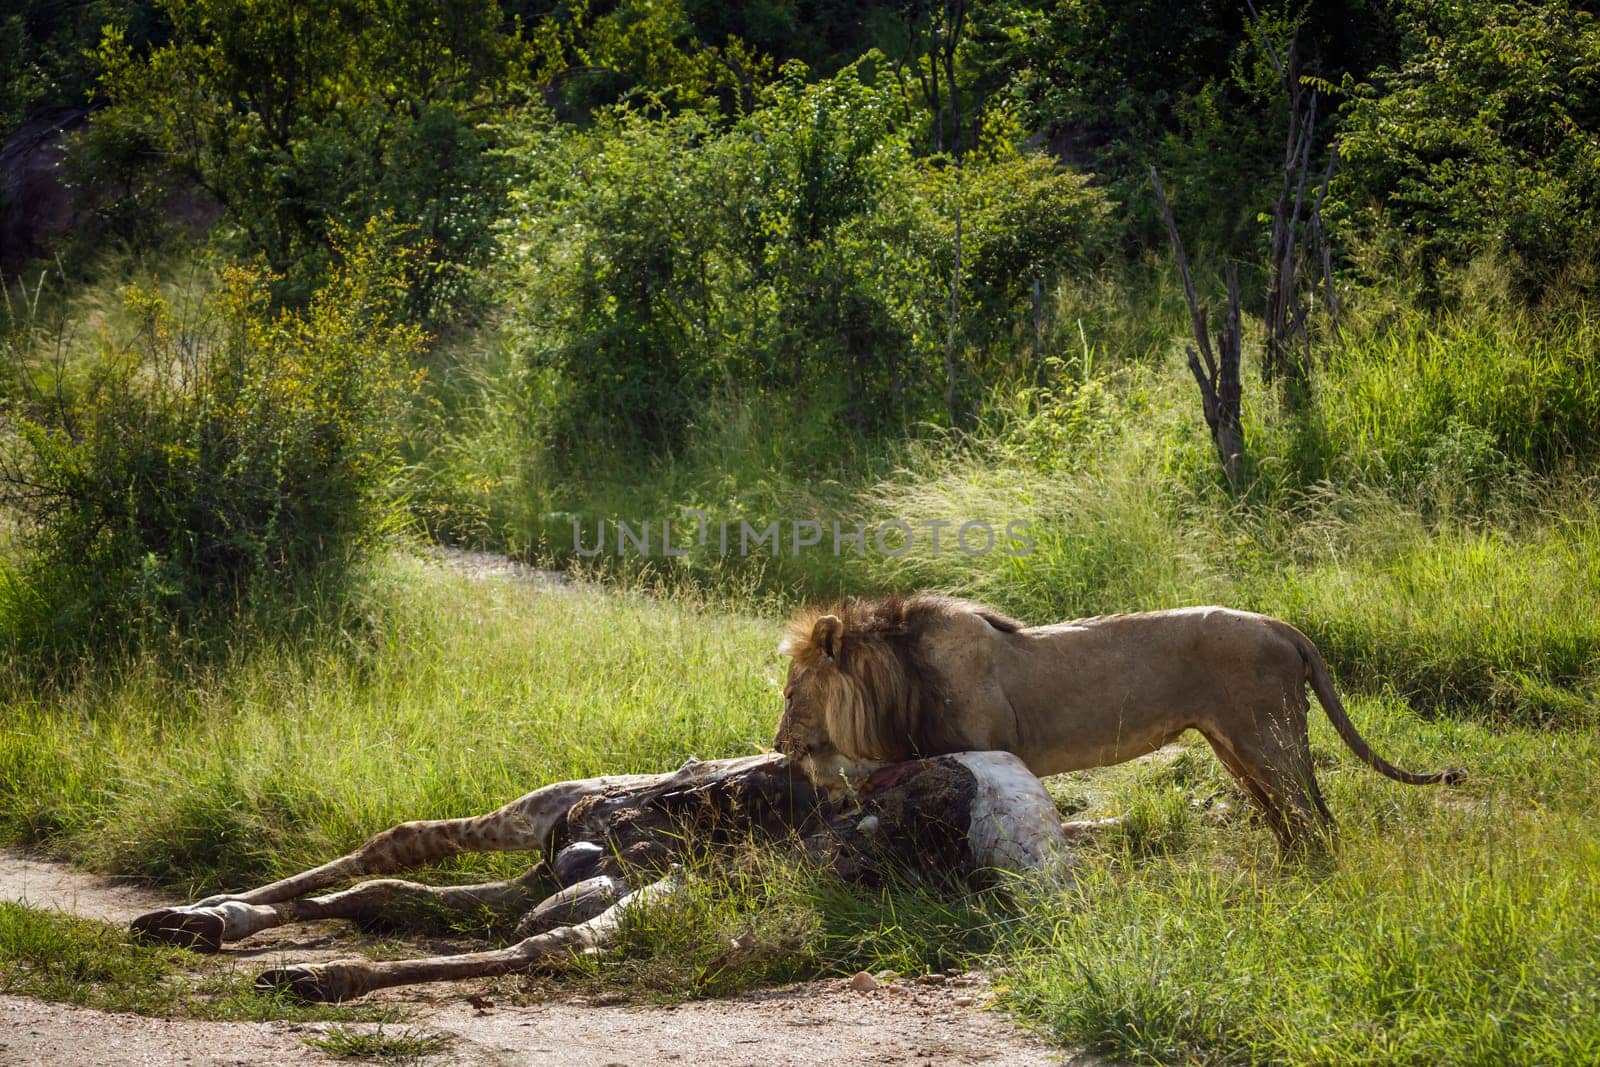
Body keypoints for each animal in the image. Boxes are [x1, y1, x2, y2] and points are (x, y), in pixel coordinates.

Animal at [774, 598, 1465, 857]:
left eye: (788, 691)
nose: (779, 745)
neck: (900, 682)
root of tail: (1281, 625)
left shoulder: (986, 750)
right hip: (1234, 747)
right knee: (1286, 818)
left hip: (1268, 738)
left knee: (1312, 817)